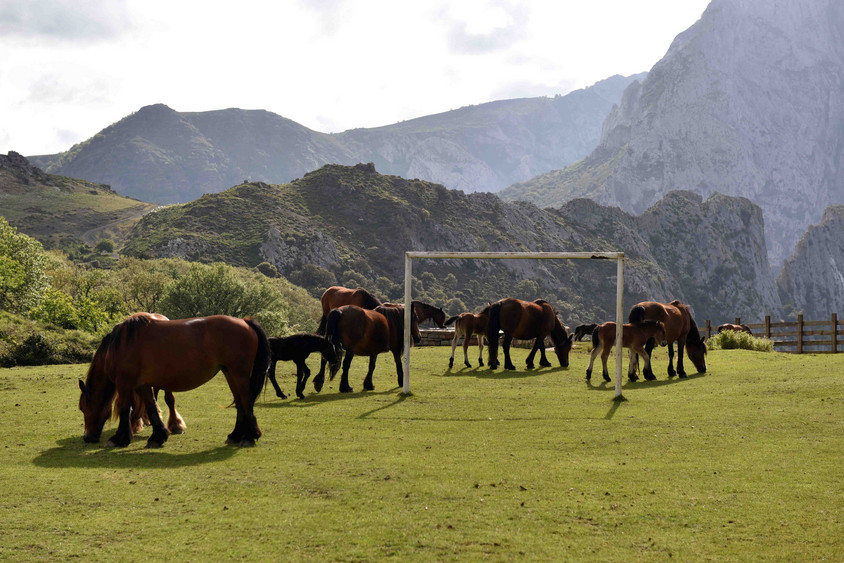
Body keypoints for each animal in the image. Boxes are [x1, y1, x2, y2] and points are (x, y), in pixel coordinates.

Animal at [78, 314, 270, 448]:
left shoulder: (125, 384)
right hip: (230, 373)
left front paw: (119, 439)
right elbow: (151, 408)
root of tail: (245, 322)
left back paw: (249, 437)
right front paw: (158, 437)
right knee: (240, 403)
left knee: (246, 401)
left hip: (239, 374)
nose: (87, 437)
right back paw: (236, 435)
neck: (119, 345)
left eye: (82, 408)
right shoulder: (142, 385)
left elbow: (125, 409)